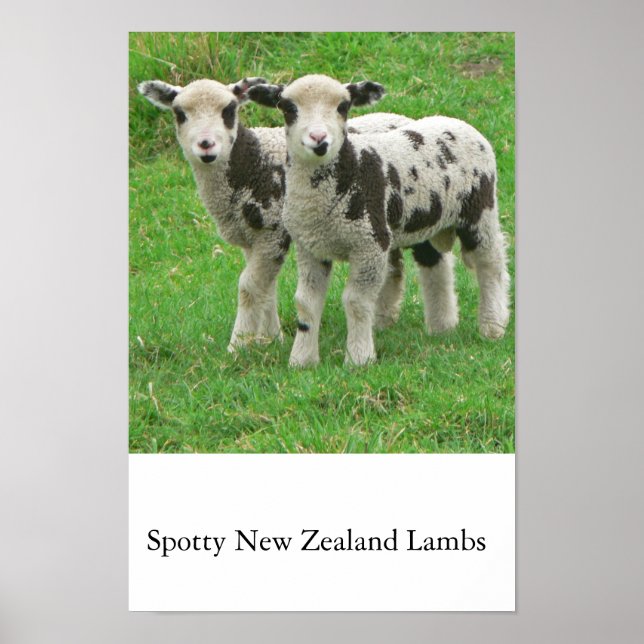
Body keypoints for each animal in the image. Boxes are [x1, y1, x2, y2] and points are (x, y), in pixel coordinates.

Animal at [138, 77, 415, 352]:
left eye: (229, 110)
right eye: (180, 113)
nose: (206, 145)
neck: (253, 162)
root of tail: (401, 117)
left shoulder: (273, 230)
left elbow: (249, 286)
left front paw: (238, 345)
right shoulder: (251, 237)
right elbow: (266, 288)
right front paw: (270, 338)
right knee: (394, 266)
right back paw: (385, 319)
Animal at [248, 74, 510, 366]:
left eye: (343, 107)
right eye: (288, 107)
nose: (319, 139)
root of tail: (459, 122)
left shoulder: (370, 242)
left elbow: (356, 301)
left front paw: (359, 358)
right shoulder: (310, 248)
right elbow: (306, 302)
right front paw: (302, 360)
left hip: (480, 209)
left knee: (490, 264)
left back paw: (493, 325)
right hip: (424, 218)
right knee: (434, 264)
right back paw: (441, 327)